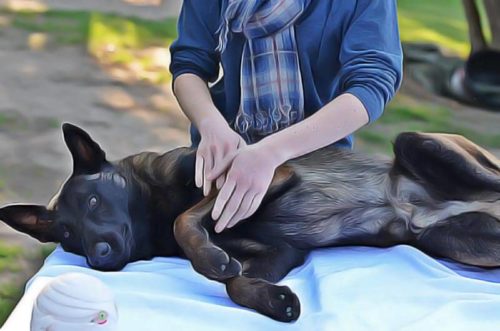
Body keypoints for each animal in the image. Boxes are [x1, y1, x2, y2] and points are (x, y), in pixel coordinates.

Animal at [0, 124, 498, 322]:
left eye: (95, 200)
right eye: (67, 235)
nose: (99, 258)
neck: (152, 212)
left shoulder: (267, 174)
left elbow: (188, 217)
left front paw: (208, 258)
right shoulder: (283, 252)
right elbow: (237, 281)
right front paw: (275, 301)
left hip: (419, 143)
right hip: (456, 241)